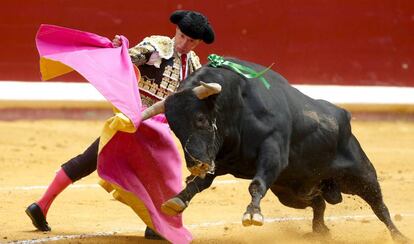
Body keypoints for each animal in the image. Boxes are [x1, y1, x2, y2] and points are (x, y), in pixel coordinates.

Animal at [143, 57, 408, 242]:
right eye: (175, 128)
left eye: (200, 119)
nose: (196, 164)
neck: (237, 108)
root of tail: (344, 115)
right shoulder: (220, 160)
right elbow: (199, 184)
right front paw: (177, 200)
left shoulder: (273, 152)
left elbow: (256, 184)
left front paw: (252, 214)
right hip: (292, 193)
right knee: (319, 203)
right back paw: (319, 230)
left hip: (360, 175)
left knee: (379, 206)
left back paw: (398, 235)